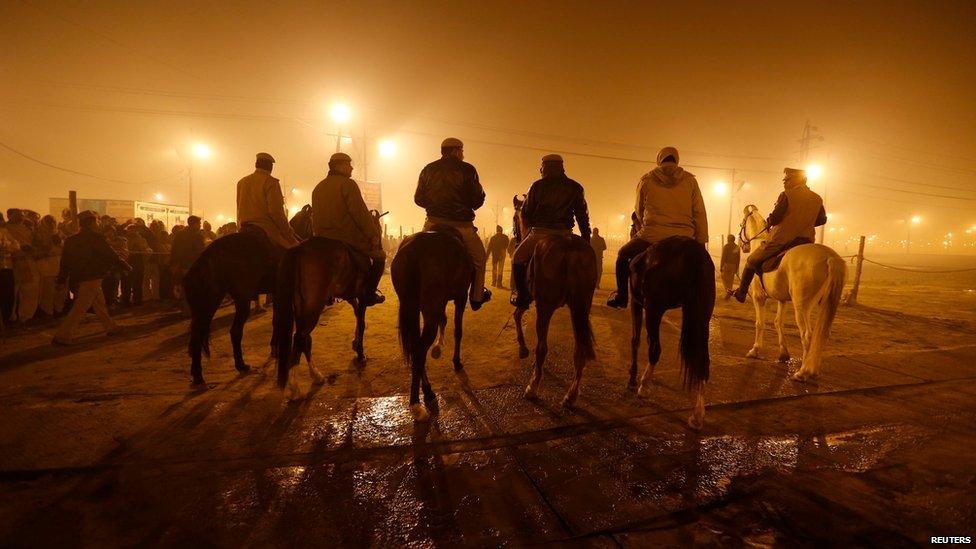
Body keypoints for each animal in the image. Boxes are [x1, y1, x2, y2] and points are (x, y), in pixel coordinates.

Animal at [179, 209, 308, 386]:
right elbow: (280, 320)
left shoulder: (276, 292)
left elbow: (276, 320)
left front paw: (274, 348)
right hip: (241, 299)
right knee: (234, 331)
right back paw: (239, 365)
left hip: (210, 300)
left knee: (196, 335)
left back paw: (197, 374)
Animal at [394, 225, 474, 422]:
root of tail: (414, 249)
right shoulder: (461, 296)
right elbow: (458, 330)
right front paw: (456, 361)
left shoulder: (438, 303)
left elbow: (443, 320)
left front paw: (438, 348)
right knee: (420, 348)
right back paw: (416, 402)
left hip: (412, 305)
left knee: (416, 345)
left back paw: (427, 391)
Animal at [510, 195, 596, 404]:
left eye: (515, 218)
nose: (515, 237)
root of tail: (570, 248)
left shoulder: (528, 298)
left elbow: (517, 315)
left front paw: (523, 349)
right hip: (580, 307)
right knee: (579, 347)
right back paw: (571, 395)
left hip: (545, 307)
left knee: (542, 347)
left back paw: (533, 387)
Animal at [628, 234, 712, 428]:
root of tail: (693, 251)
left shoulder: (635, 302)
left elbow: (635, 340)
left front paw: (633, 377)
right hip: (702, 315)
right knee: (703, 360)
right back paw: (697, 415)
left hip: (654, 308)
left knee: (654, 349)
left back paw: (644, 385)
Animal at [740, 206, 848, 382]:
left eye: (741, 223)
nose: (743, 247)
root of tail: (830, 257)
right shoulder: (782, 300)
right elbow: (778, 322)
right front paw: (783, 354)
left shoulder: (758, 297)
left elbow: (759, 324)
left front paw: (755, 350)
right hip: (825, 304)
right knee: (822, 334)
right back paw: (813, 370)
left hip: (801, 306)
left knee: (807, 335)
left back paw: (803, 372)